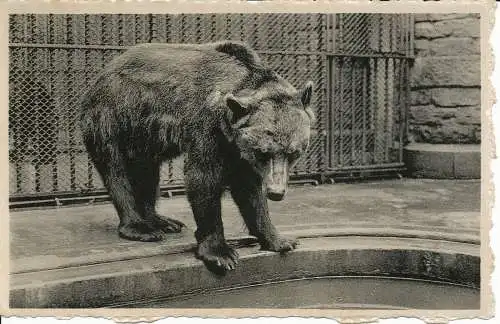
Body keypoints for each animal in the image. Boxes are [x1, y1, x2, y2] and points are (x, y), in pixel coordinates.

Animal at [78, 41, 314, 274]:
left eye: (293, 152)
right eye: (263, 152)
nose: (276, 192)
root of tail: (102, 73)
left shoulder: (237, 149)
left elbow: (249, 190)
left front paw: (280, 240)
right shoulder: (208, 127)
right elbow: (203, 178)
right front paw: (221, 254)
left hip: (144, 137)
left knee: (147, 173)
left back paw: (162, 221)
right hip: (113, 118)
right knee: (117, 171)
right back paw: (140, 227)